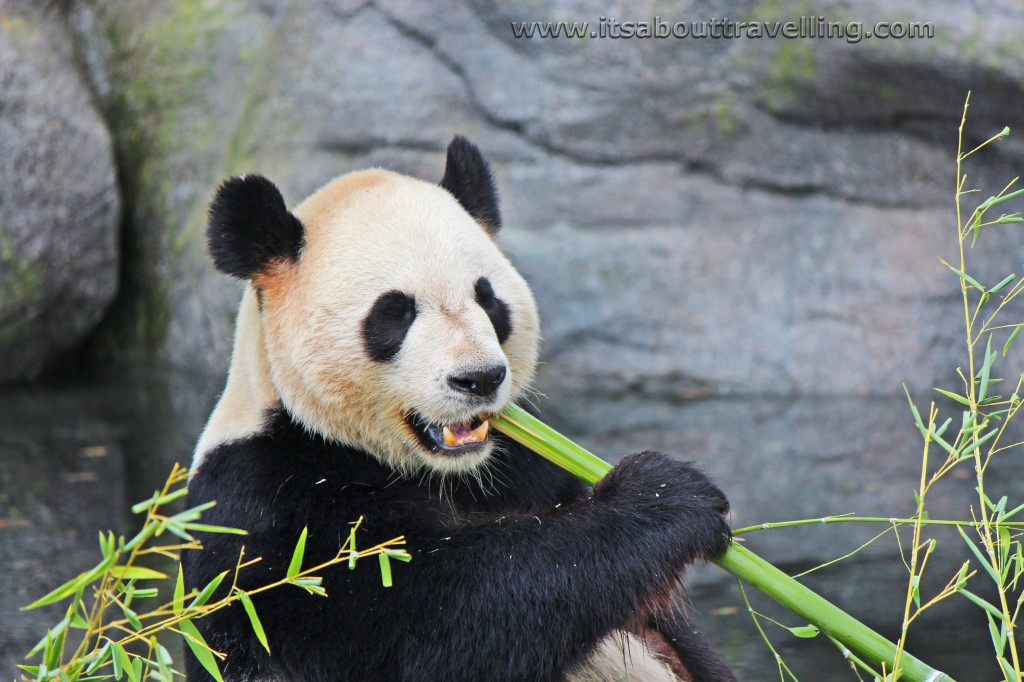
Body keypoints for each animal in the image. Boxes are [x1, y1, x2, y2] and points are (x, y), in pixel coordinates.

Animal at [180, 137, 733, 679]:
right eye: (394, 312)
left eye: (487, 298)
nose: (479, 379)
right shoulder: (272, 509)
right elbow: (436, 617)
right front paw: (663, 495)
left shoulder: (527, 466)